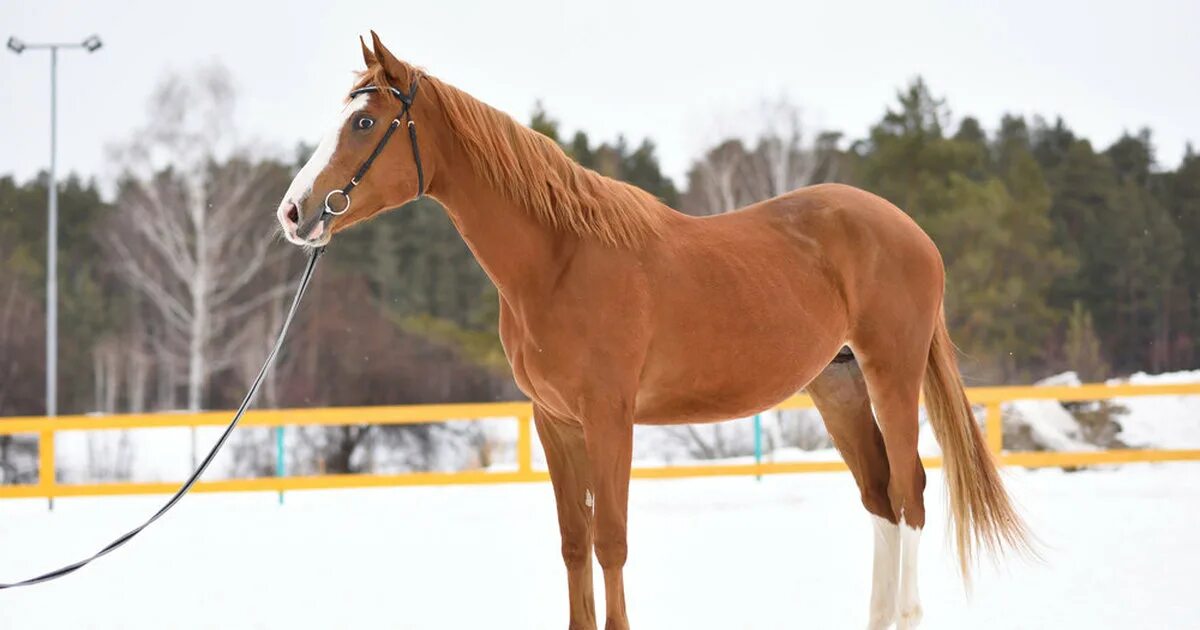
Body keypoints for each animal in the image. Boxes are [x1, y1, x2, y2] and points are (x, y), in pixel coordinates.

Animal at [276, 34, 1027, 628]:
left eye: (365, 120)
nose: (294, 212)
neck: (560, 259)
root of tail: (909, 230)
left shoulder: (610, 417)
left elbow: (611, 539)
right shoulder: (554, 422)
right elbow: (574, 543)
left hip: (892, 374)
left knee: (908, 493)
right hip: (837, 384)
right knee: (877, 497)